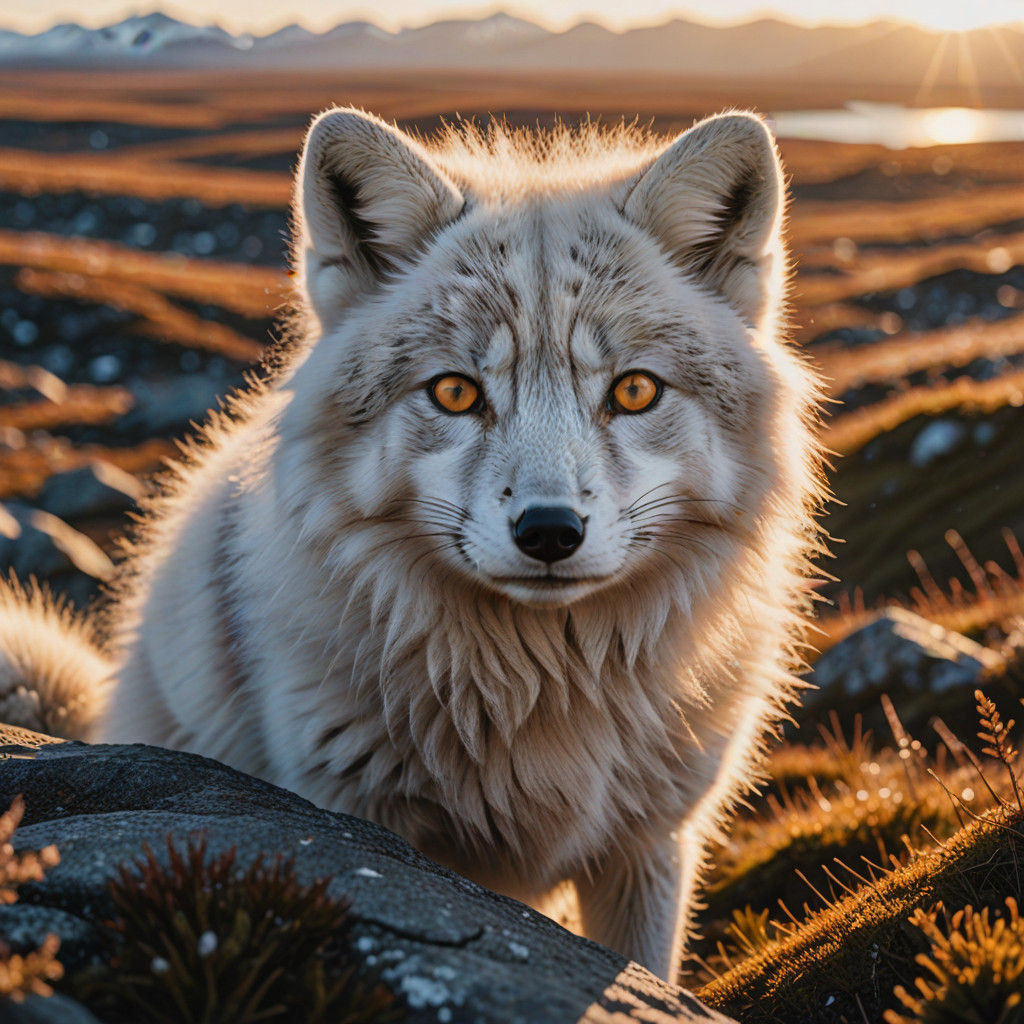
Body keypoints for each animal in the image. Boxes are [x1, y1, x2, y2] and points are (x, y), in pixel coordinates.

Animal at [0, 108, 824, 983]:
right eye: (456, 392)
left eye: (635, 391)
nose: (549, 531)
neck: (542, 695)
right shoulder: (358, 819)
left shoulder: (648, 851)